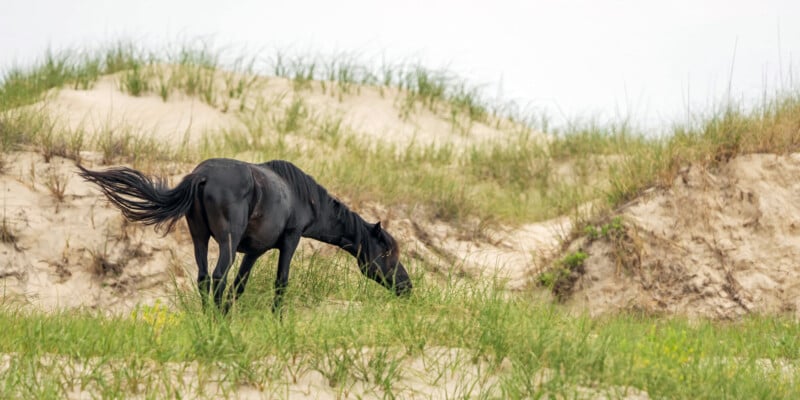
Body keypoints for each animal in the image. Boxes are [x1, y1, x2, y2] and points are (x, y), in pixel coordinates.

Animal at [78, 158, 412, 314]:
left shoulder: (254, 251)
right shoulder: (290, 240)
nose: (407, 286)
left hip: (200, 238)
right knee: (217, 277)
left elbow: (239, 286)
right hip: (226, 241)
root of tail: (202, 175)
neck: (302, 196)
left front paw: (229, 316)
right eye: (386, 254)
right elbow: (280, 283)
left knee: (204, 278)